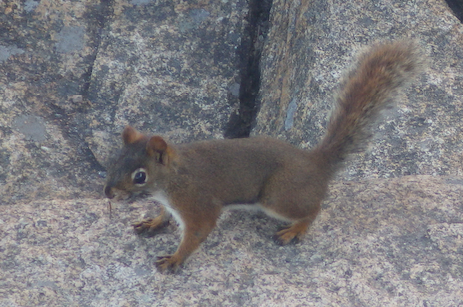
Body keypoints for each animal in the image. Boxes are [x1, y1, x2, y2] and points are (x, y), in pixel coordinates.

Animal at [104, 41, 424, 274]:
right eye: (114, 160)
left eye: (140, 176)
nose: (108, 193)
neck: (171, 179)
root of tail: (316, 164)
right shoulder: (171, 203)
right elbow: (164, 215)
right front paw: (152, 222)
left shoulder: (197, 204)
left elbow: (196, 234)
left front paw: (174, 259)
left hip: (278, 196)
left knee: (313, 210)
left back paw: (295, 230)